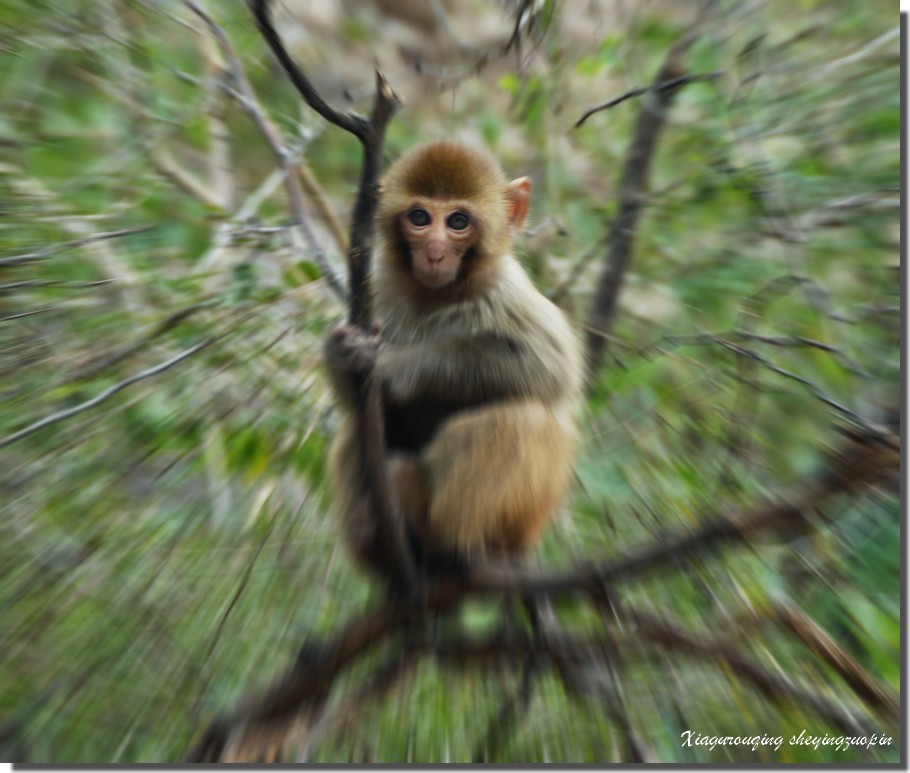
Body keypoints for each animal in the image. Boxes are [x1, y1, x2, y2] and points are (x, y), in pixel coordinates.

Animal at [326, 139, 584, 576]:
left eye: (458, 221)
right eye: (419, 217)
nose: (433, 253)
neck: (435, 296)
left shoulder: (505, 289)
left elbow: (547, 367)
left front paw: (397, 369)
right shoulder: (380, 287)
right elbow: (356, 402)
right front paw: (341, 352)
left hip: (521, 524)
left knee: (520, 420)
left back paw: (441, 536)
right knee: (356, 426)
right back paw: (377, 537)